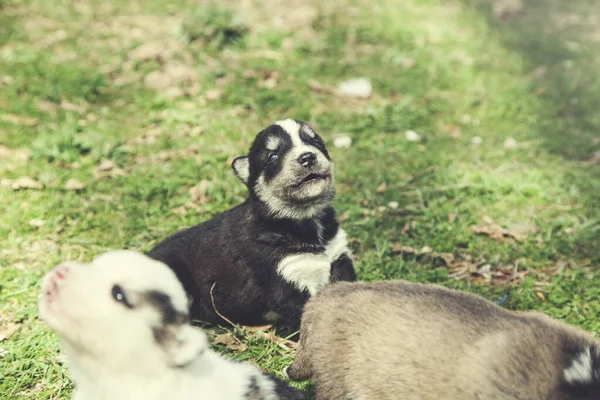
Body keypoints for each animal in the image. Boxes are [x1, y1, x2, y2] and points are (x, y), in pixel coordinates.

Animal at [149, 118, 356, 328]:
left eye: (315, 143)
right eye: (272, 156)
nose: (308, 157)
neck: (305, 219)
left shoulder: (338, 258)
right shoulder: (285, 276)